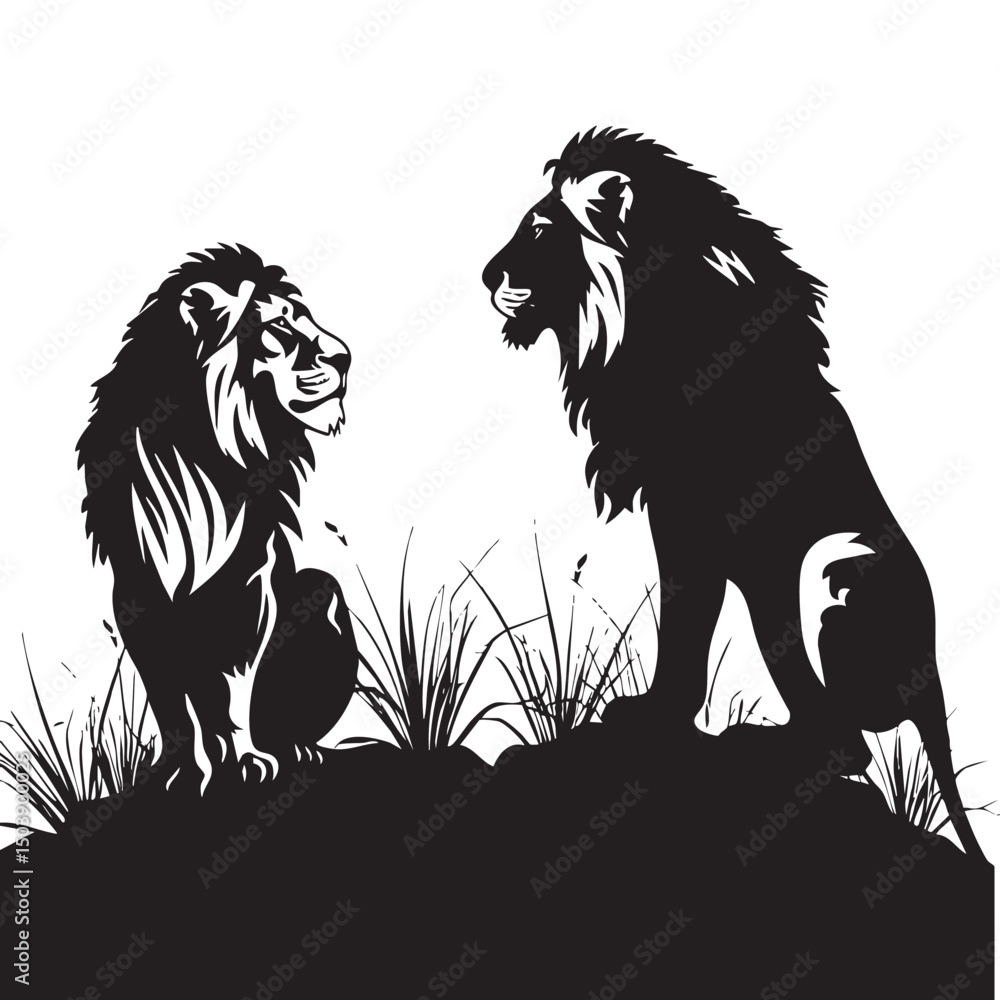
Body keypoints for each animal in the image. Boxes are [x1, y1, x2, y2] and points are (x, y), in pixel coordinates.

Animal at [77, 244, 358, 795]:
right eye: (280, 325)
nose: (345, 357)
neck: (207, 453)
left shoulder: (253, 585)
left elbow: (239, 689)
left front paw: (251, 760)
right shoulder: (138, 595)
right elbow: (171, 703)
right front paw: (177, 770)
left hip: (324, 590)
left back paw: (296, 750)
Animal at [482, 128, 987, 863]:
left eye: (541, 230)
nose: (486, 277)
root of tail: (934, 678)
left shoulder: (694, 517)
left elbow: (685, 622)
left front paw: (655, 719)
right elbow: (688, 620)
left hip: (824, 567)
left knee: (849, 742)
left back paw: (770, 748)